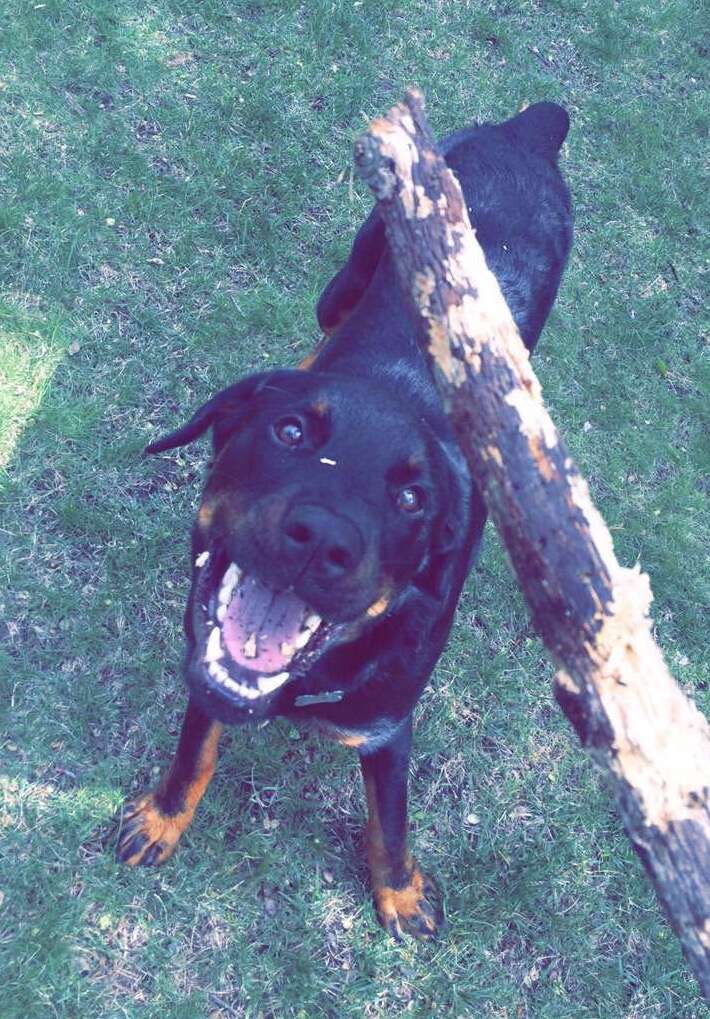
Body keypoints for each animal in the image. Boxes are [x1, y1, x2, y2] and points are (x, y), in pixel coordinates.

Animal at [115, 101, 570, 937]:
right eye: (289, 431)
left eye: (414, 498)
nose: (322, 538)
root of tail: (528, 129)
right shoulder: (208, 659)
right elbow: (195, 751)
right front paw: (162, 817)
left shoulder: (388, 727)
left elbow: (390, 821)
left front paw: (399, 893)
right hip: (351, 267)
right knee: (326, 319)